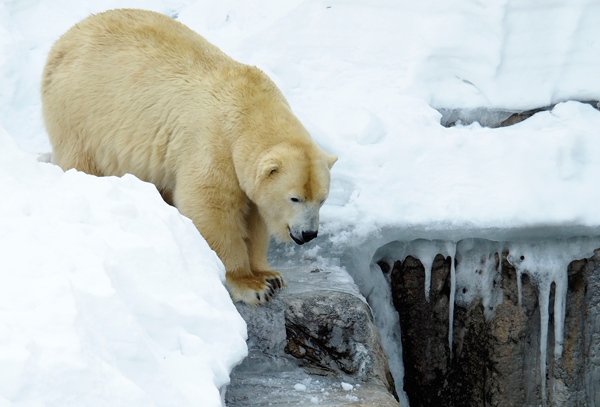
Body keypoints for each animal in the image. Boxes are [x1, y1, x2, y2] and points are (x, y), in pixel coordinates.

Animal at [42, 7, 338, 306]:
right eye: (295, 198)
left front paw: (270, 275)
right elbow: (209, 207)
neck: (249, 107)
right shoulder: (214, 145)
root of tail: (64, 40)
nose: (309, 234)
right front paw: (249, 284)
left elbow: (254, 216)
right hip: (80, 113)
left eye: (322, 199)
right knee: (82, 161)